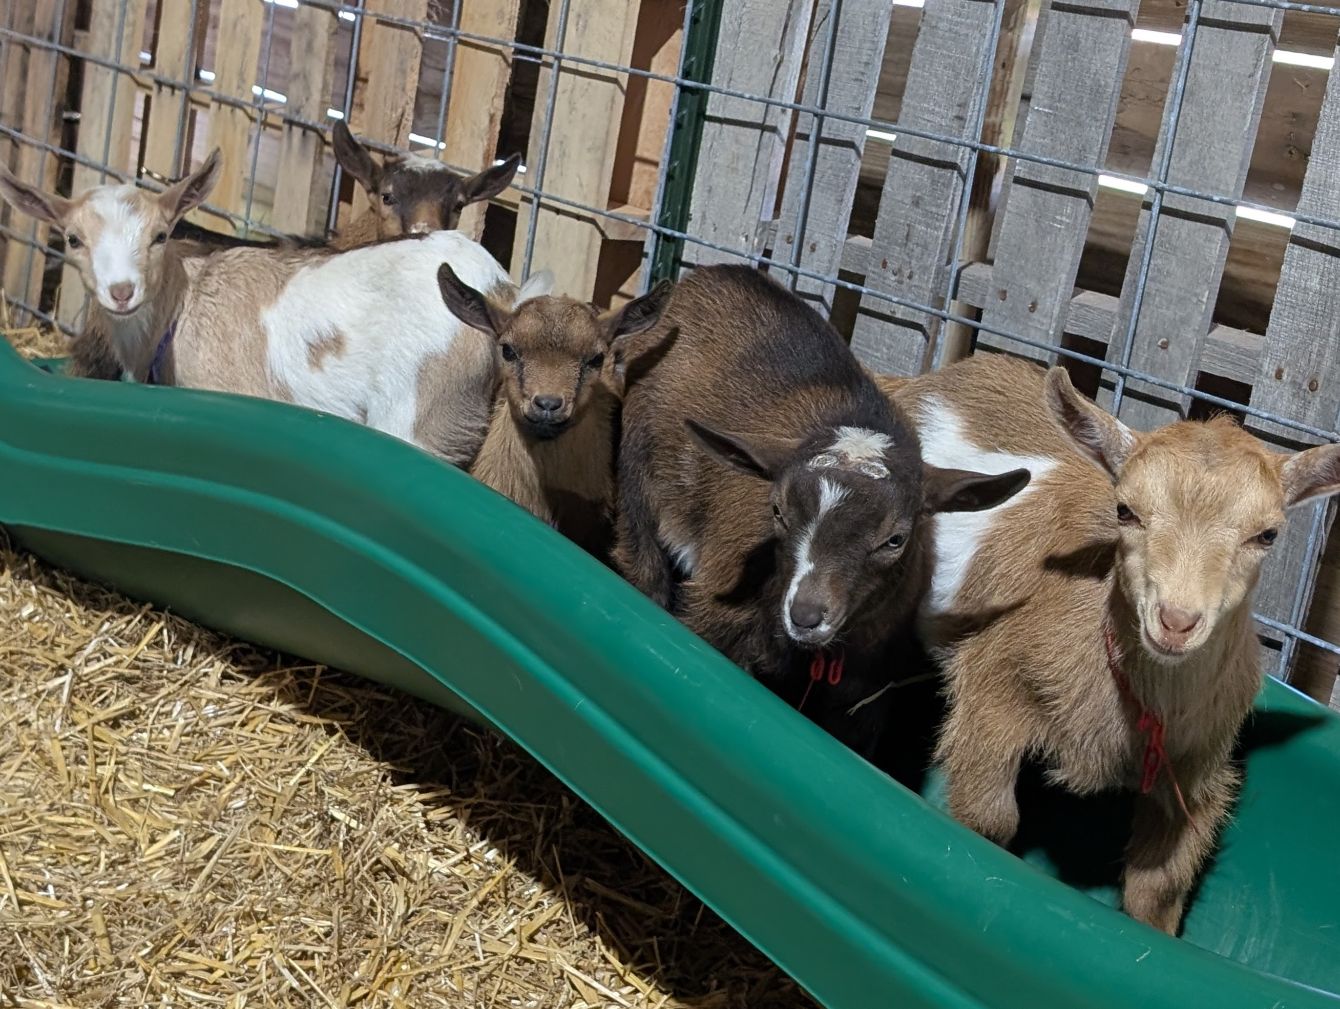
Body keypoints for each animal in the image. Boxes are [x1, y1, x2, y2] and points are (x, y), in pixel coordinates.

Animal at [0, 149, 550, 466]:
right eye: (73, 239)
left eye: (160, 235)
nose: (121, 291)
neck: (182, 307)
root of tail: (499, 290)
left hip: (421, 415)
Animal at [614, 265, 1029, 756]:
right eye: (777, 511)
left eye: (895, 539)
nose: (806, 615)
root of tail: (708, 274)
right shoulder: (714, 612)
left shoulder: (864, 692)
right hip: (637, 472)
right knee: (642, 559)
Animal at [888, 352, 1340, 934]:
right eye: (1125, 510)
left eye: (1268, 535)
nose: (1176, 620)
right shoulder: (994, 691)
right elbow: (988, 818)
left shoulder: (1195, 769)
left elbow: (1157, 889)